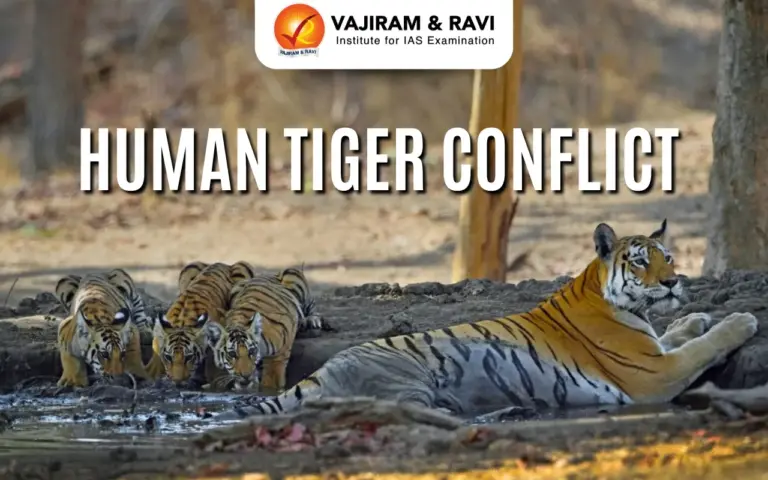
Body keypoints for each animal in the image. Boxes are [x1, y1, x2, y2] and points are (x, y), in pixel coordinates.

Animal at [216, 220, 759, 420]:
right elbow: (699, 347)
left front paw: (698, 316)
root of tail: (323, 370)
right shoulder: (653, 375)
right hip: (409, 383)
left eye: (668, 257)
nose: (674, 282)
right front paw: (740, 320)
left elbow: (677, 333)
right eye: (642, 261)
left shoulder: (654, 347)